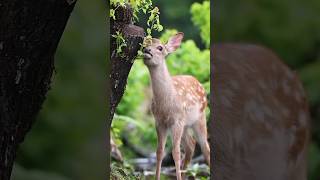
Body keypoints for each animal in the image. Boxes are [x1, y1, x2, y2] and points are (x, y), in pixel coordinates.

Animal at [142, 32, 210, 180]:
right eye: (145, 44)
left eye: (160, 47)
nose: (146, 50)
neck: (166, 104)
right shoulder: (159, 122)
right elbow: (159, 151)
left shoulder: (177, 120)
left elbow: (176, 152)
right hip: (185, 125)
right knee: (191, 145)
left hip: (199, 118)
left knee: (205, 146)